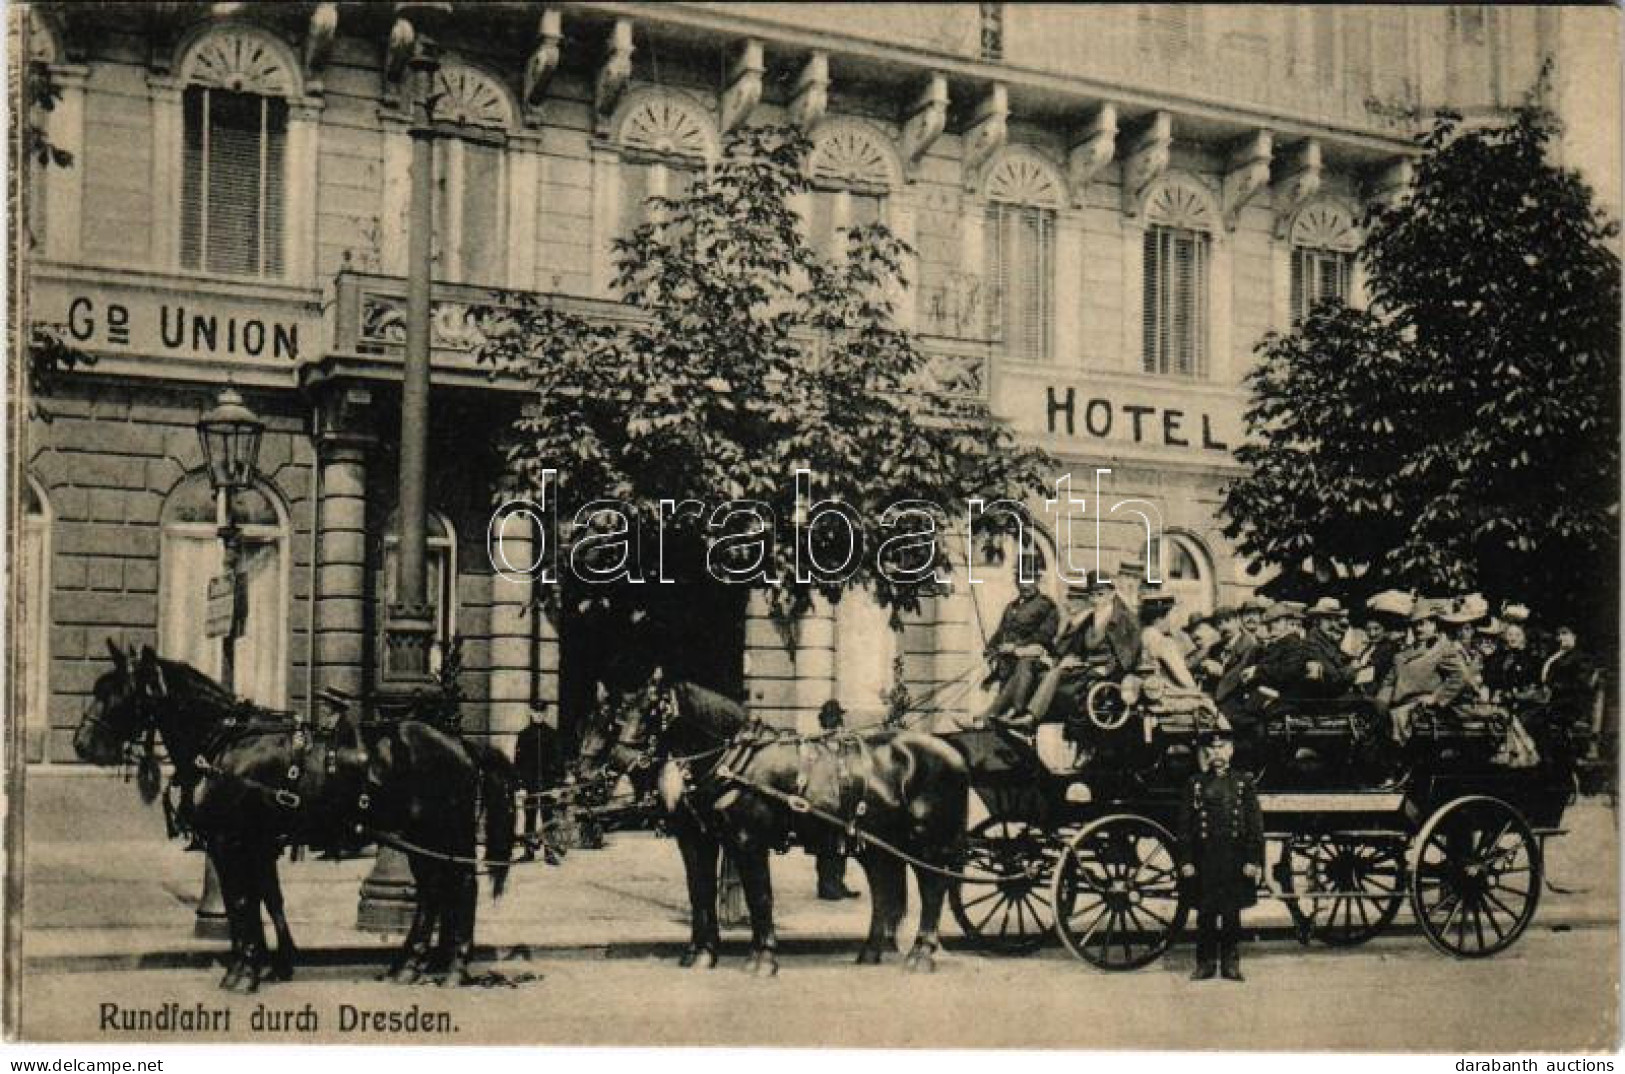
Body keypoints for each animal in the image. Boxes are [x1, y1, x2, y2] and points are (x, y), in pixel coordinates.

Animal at [76, 640, 513, 994]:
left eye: (119, 693)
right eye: (99, 688)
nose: (82, 744)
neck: (227, 742)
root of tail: (461, 743)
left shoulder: (232, 843)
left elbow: (241, 902)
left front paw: (245, 973)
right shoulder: (253, 845)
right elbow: (261, 901)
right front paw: (264, 964)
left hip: (444, 834)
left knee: (463, 886)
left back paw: (453, 967)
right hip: (418, 840)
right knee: (432, 893)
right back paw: (409, 966)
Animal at [581, 675, 962, 974]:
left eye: (654, 712)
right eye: (620, 715)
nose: (621, 760)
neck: (732, 761)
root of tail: (949, 751)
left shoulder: (749, 842)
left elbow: (759, 896)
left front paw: (763, 958)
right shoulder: (697, 840)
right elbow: (700, 893)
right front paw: (701, 954)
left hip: (926, 842)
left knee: (933, 888)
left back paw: (921, 954)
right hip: (877, 844)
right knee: (884, 890)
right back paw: (870, 952)